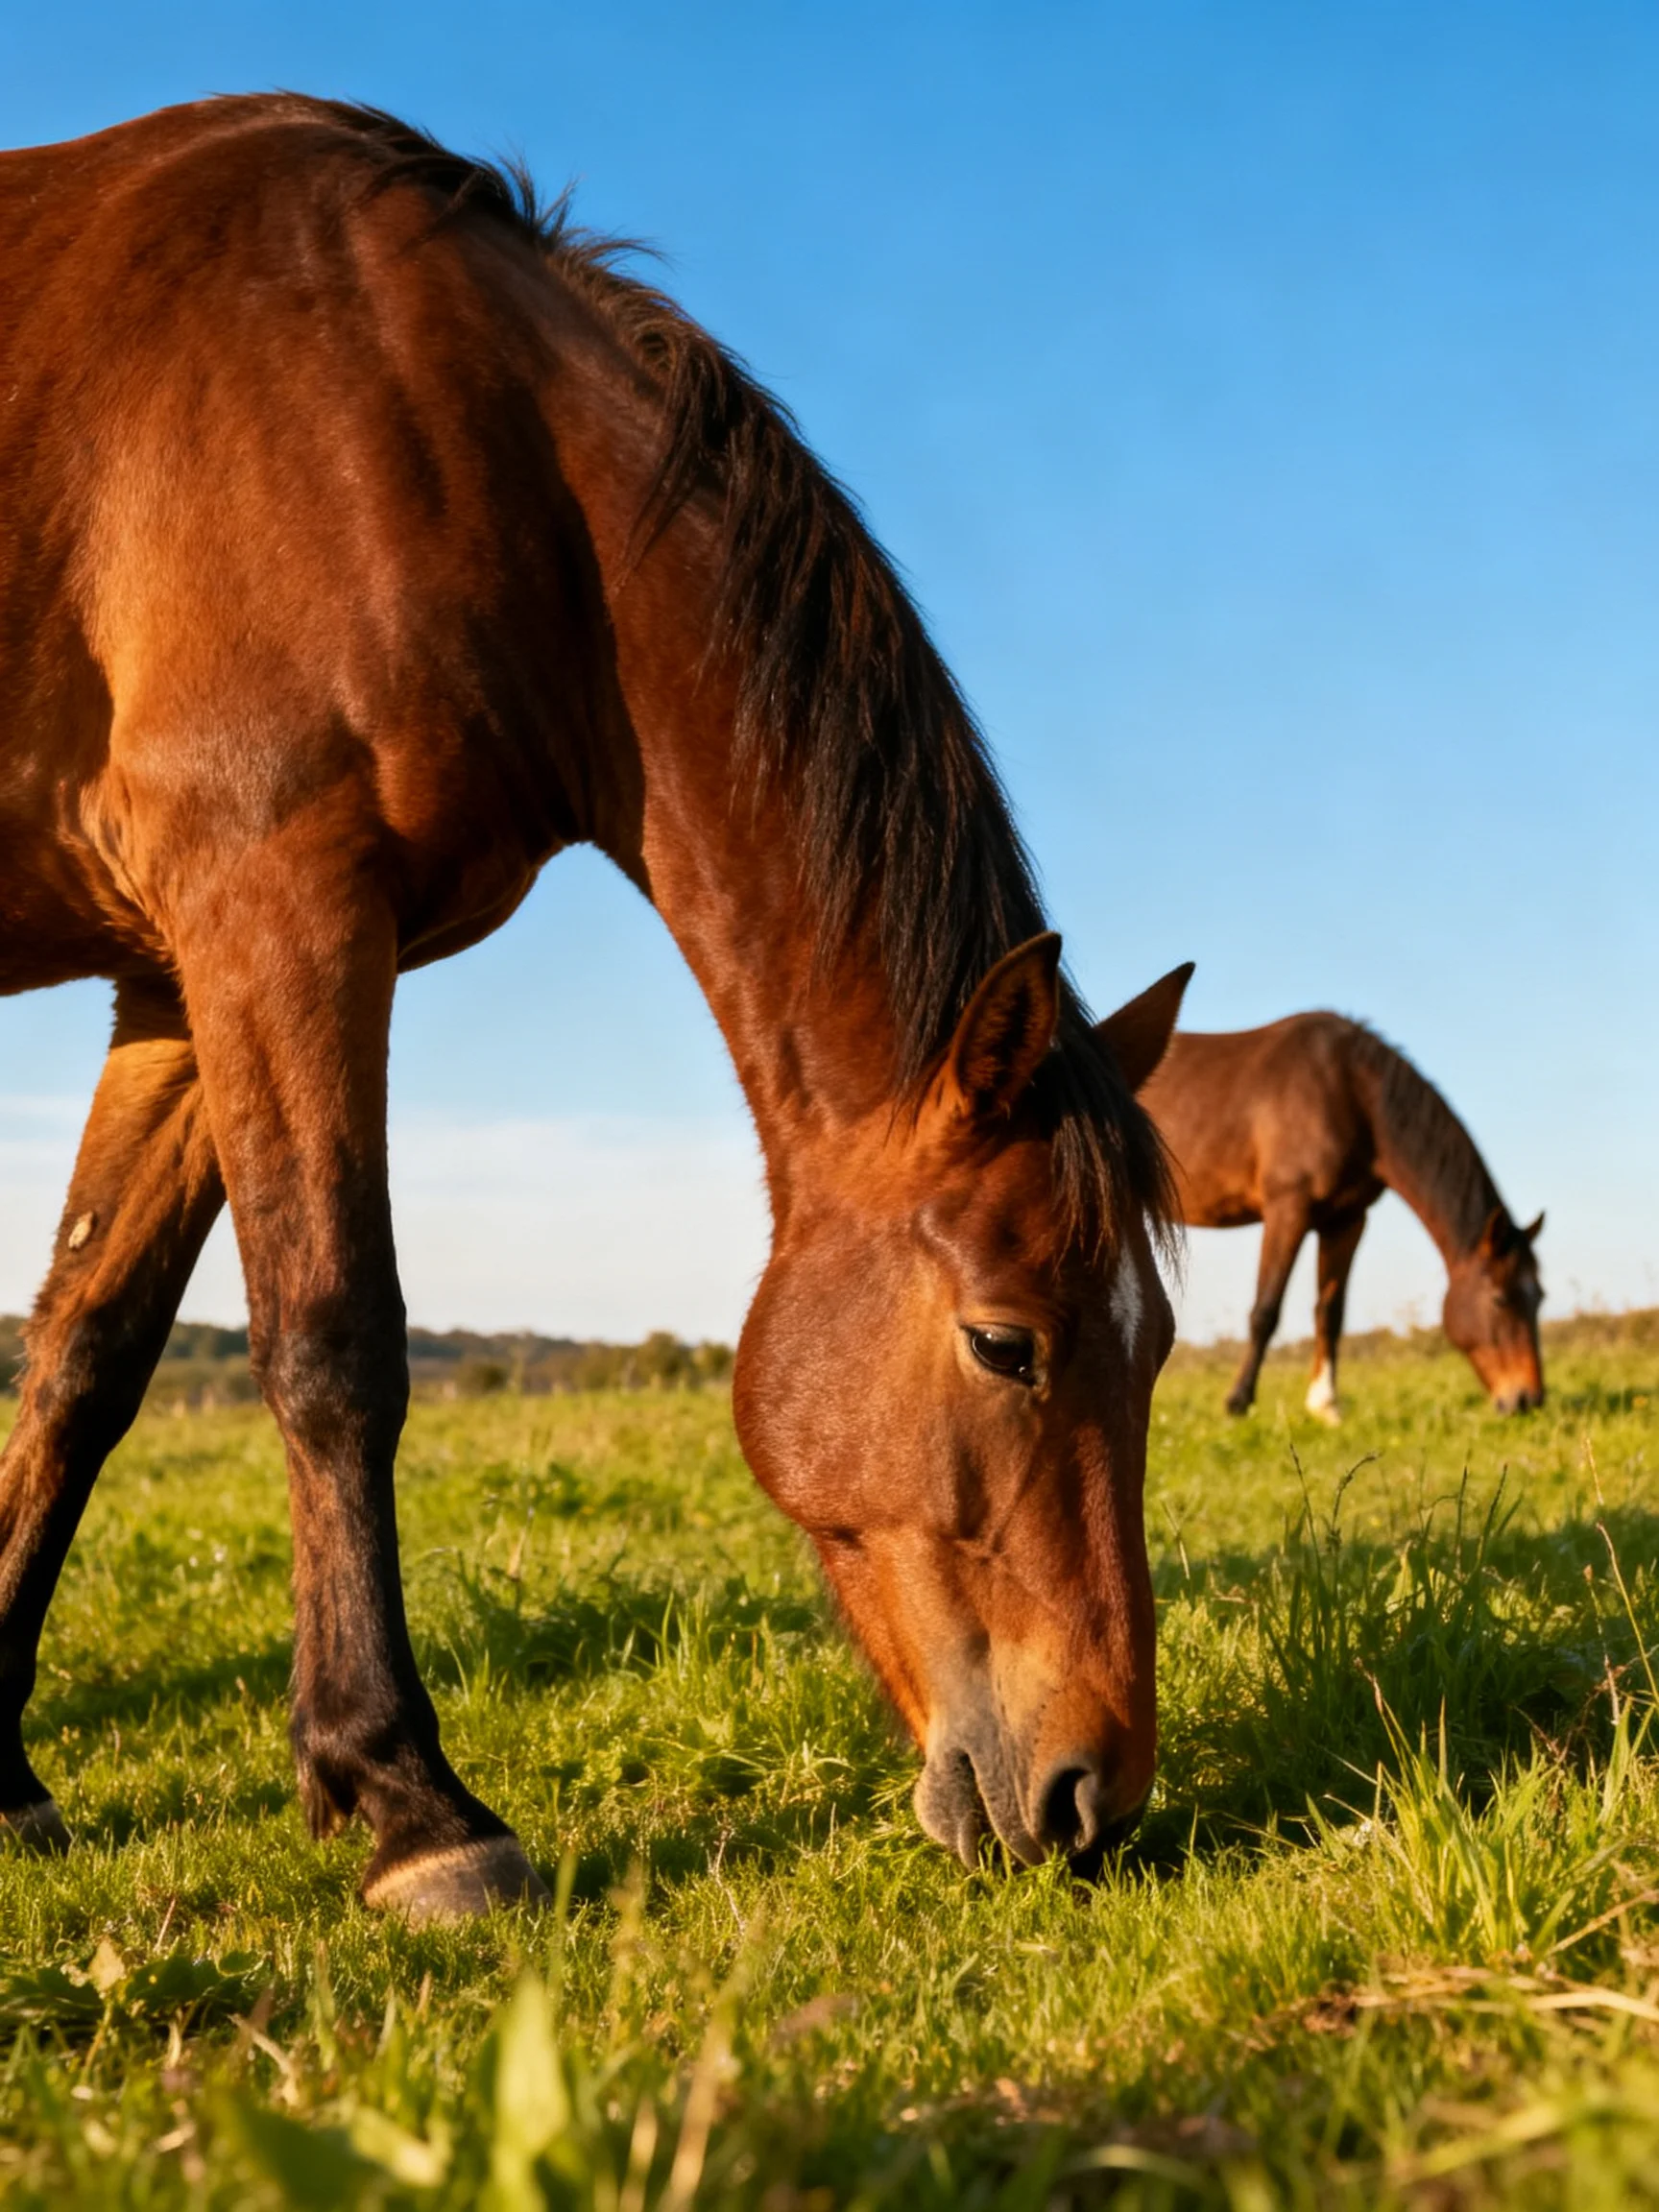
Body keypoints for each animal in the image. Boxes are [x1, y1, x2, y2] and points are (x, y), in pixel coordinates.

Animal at [0, 97, 1185, 1918]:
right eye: (1008, 1342)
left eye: (1163, 1344)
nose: (1092, 1793)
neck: (422, 403)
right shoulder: (278, 909)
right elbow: (334, 1340)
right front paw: (410, 1801)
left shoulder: (176, 977)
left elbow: (82, 1354)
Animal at [1133, 997, 1545, 1423]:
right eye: (1500, 1299)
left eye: (1540, 1298)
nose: (1527, 1398)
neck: (1351, 1091)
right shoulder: (1288, 1208)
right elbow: (1265, 1311)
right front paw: (1238, 1402)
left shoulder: (1346, 1220)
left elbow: (1330, 1313)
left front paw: (1326, 1405)